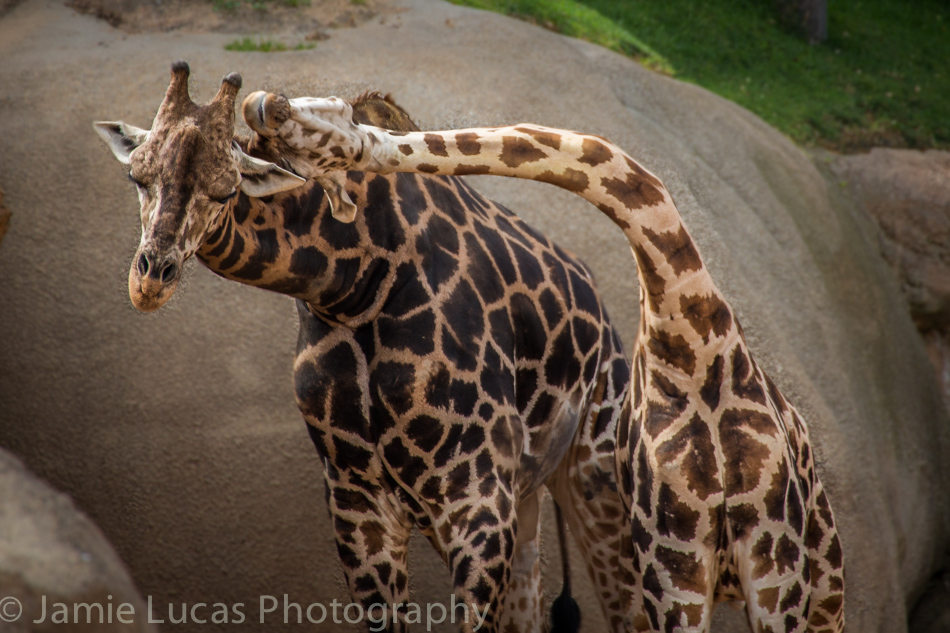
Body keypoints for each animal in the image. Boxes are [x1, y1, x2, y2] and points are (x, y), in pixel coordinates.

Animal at [94, 63, 633, 632]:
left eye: (224, 191)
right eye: (137, 178)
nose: (150, 281)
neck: (358, 286)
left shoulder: (475, 496)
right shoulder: (358, 500)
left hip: (596, 482)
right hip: (527, 503)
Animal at [241, 91, 846, 633]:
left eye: (331, 112)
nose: (260, 104)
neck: (694, 348)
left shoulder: (770, 552)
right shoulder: (675, 558)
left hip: (817, 575)